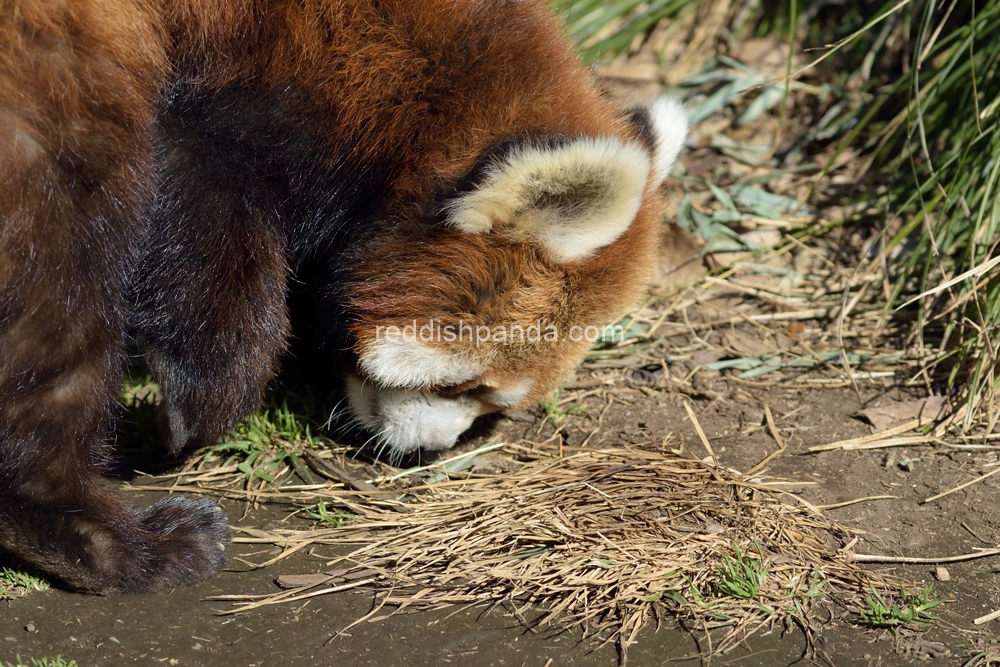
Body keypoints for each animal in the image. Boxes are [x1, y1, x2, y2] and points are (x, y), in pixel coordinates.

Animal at [0, 0, 688, 596]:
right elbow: (206, 219)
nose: (427, 452)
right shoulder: (246, 88)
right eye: (465, 387)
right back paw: (121, 540)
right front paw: (200, 407)